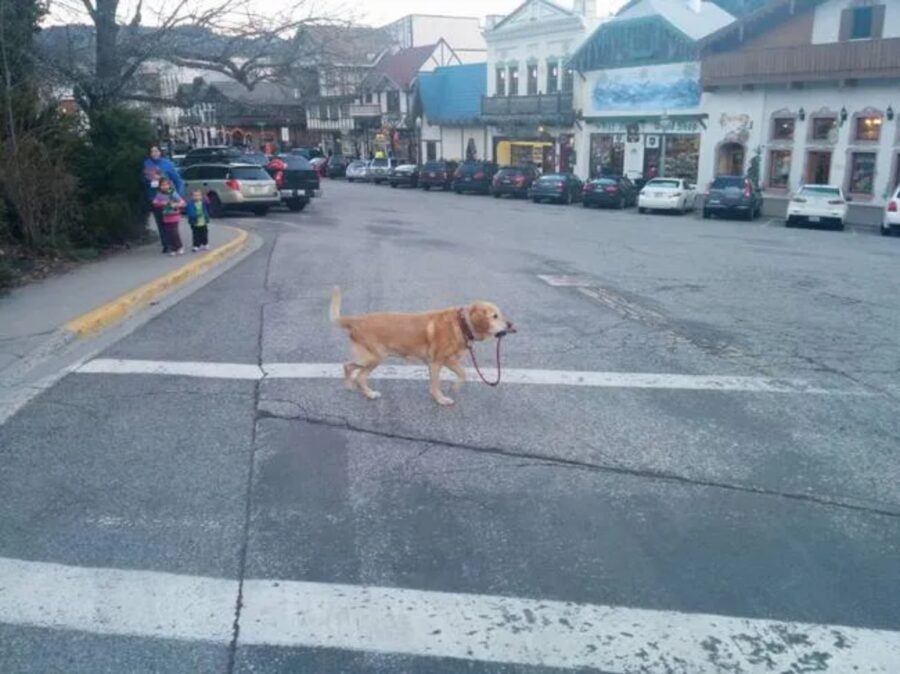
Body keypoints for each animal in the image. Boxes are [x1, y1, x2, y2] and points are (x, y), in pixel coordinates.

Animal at [328, 284, 512, 404]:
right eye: (495, 316)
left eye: (500, 314)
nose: (510, 325)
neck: (462, 324)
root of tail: (356, 320)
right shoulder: (436, 362)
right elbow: (436, 384)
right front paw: (441, 399)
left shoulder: (449, 361)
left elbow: (463, 374)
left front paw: (454, 387)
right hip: (374, 358)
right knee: (354, 371)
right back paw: (363, 391)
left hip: (371, 359)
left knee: (352, 370)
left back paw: (357, 389)